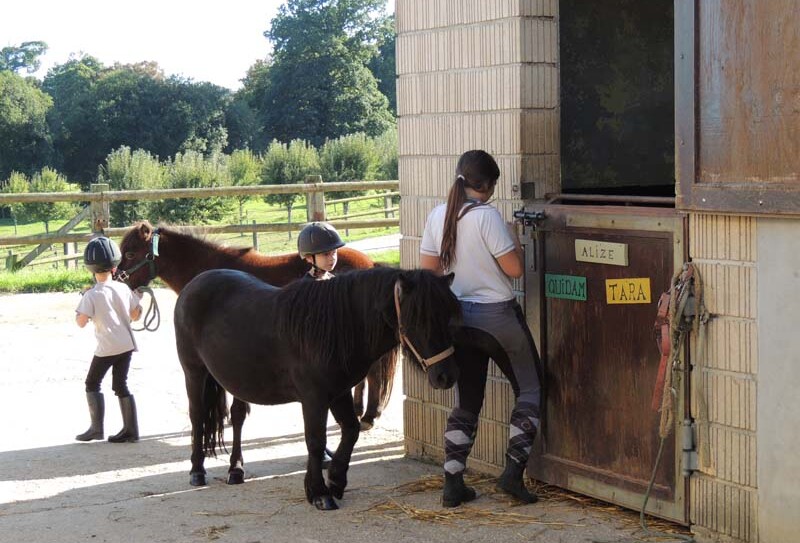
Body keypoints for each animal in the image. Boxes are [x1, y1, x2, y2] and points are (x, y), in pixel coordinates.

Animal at [116, 220, 396, 430]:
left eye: (130, 253)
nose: (118, 279)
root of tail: (370, 263)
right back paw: (358, 409)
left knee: (374, 372)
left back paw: (368, 416)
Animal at [174, 267, 460, 510]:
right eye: (419, 319)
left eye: (448, 315)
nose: (446, 376)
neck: (335, 327)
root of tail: (196, 281)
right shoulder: (314, 398)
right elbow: (315, 440)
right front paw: (320, 492)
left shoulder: (340, 392)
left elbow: (350, 431)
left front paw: (335, 480)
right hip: (194, 372)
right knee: (197, 416)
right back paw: (197, 471)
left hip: (235, 379)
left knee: (237, 417)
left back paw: (236, 469)